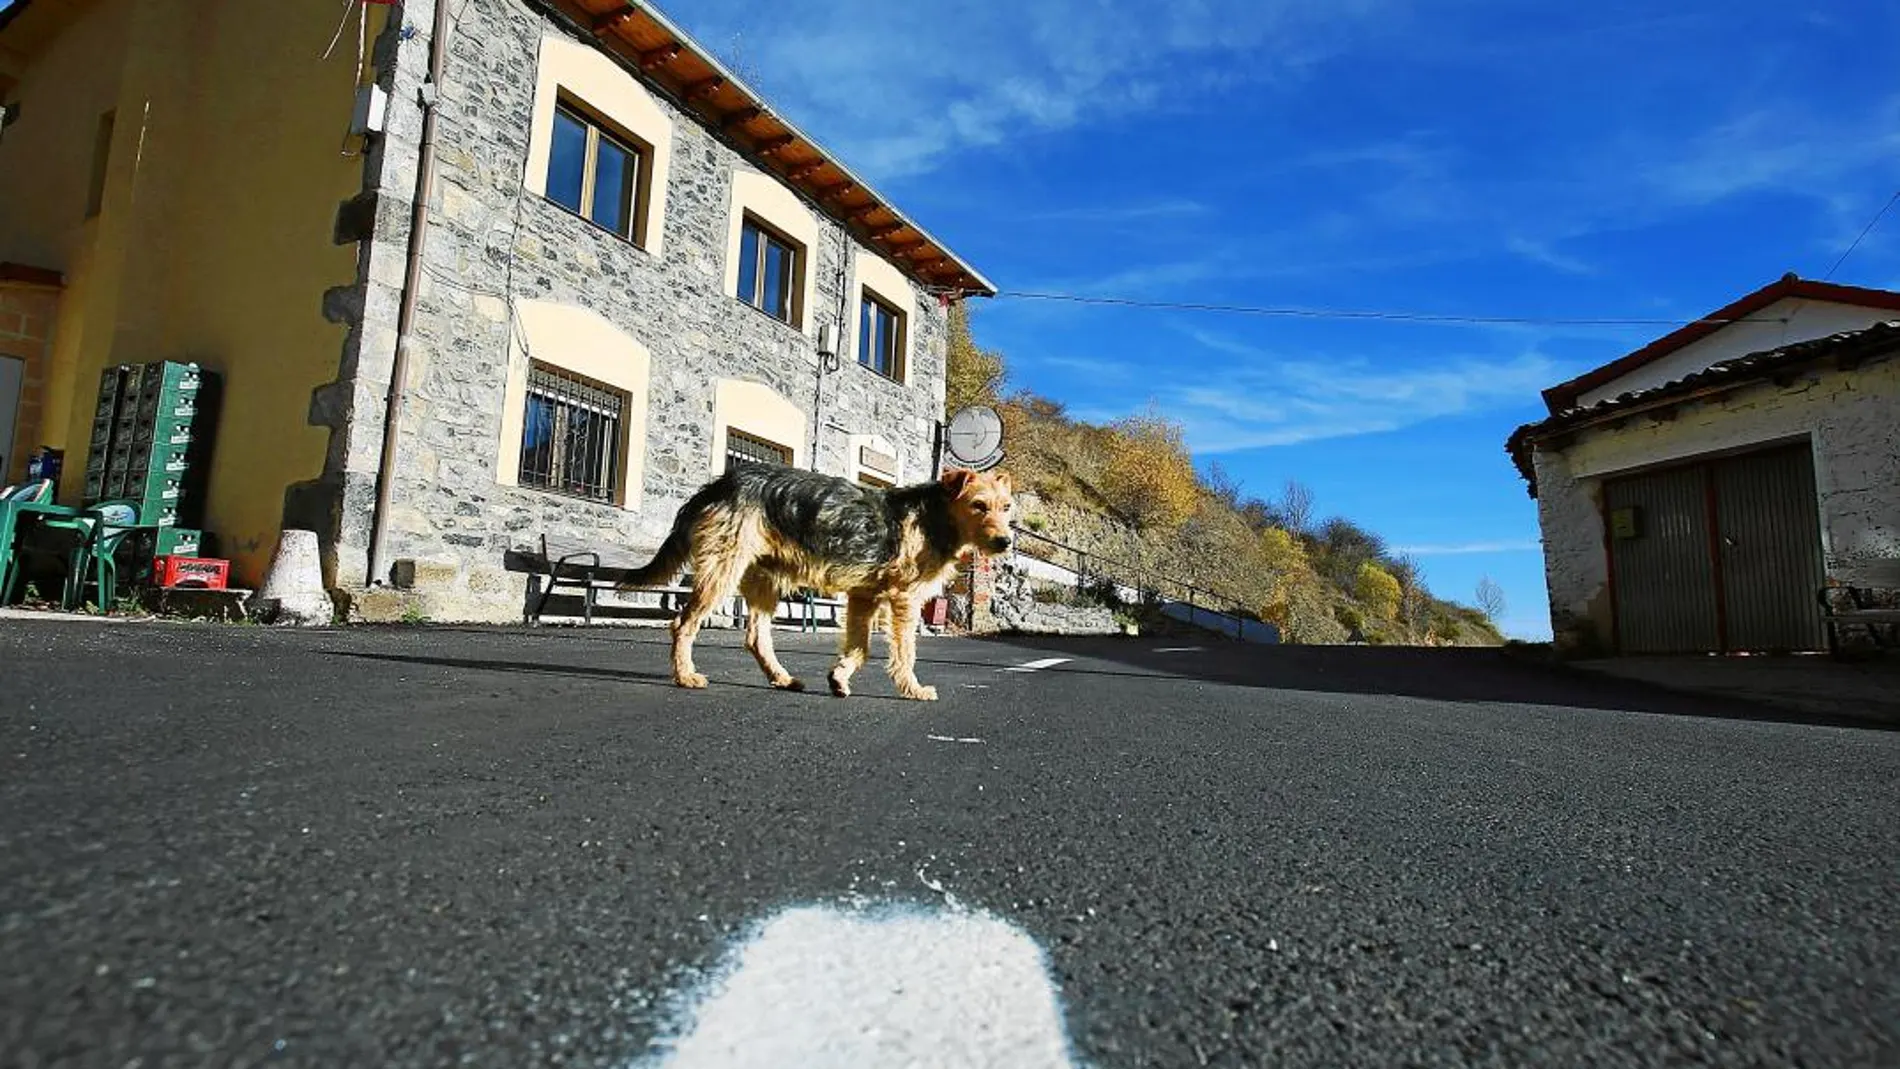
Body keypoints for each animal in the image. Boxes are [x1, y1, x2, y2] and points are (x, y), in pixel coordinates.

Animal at [619, 461, 1010, 702]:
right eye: (978, 505)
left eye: (1006, 507)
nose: (1005, 542)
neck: (937, 516)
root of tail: (720, 484)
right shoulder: (904, 600)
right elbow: (905, 653)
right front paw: (912, 690)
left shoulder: (864, 597)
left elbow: (859, 648)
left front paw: (839, 677)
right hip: (722, 571)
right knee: (683, 624)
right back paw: (686, 676)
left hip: (764, 581)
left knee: (755, 637)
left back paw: (782, 678)